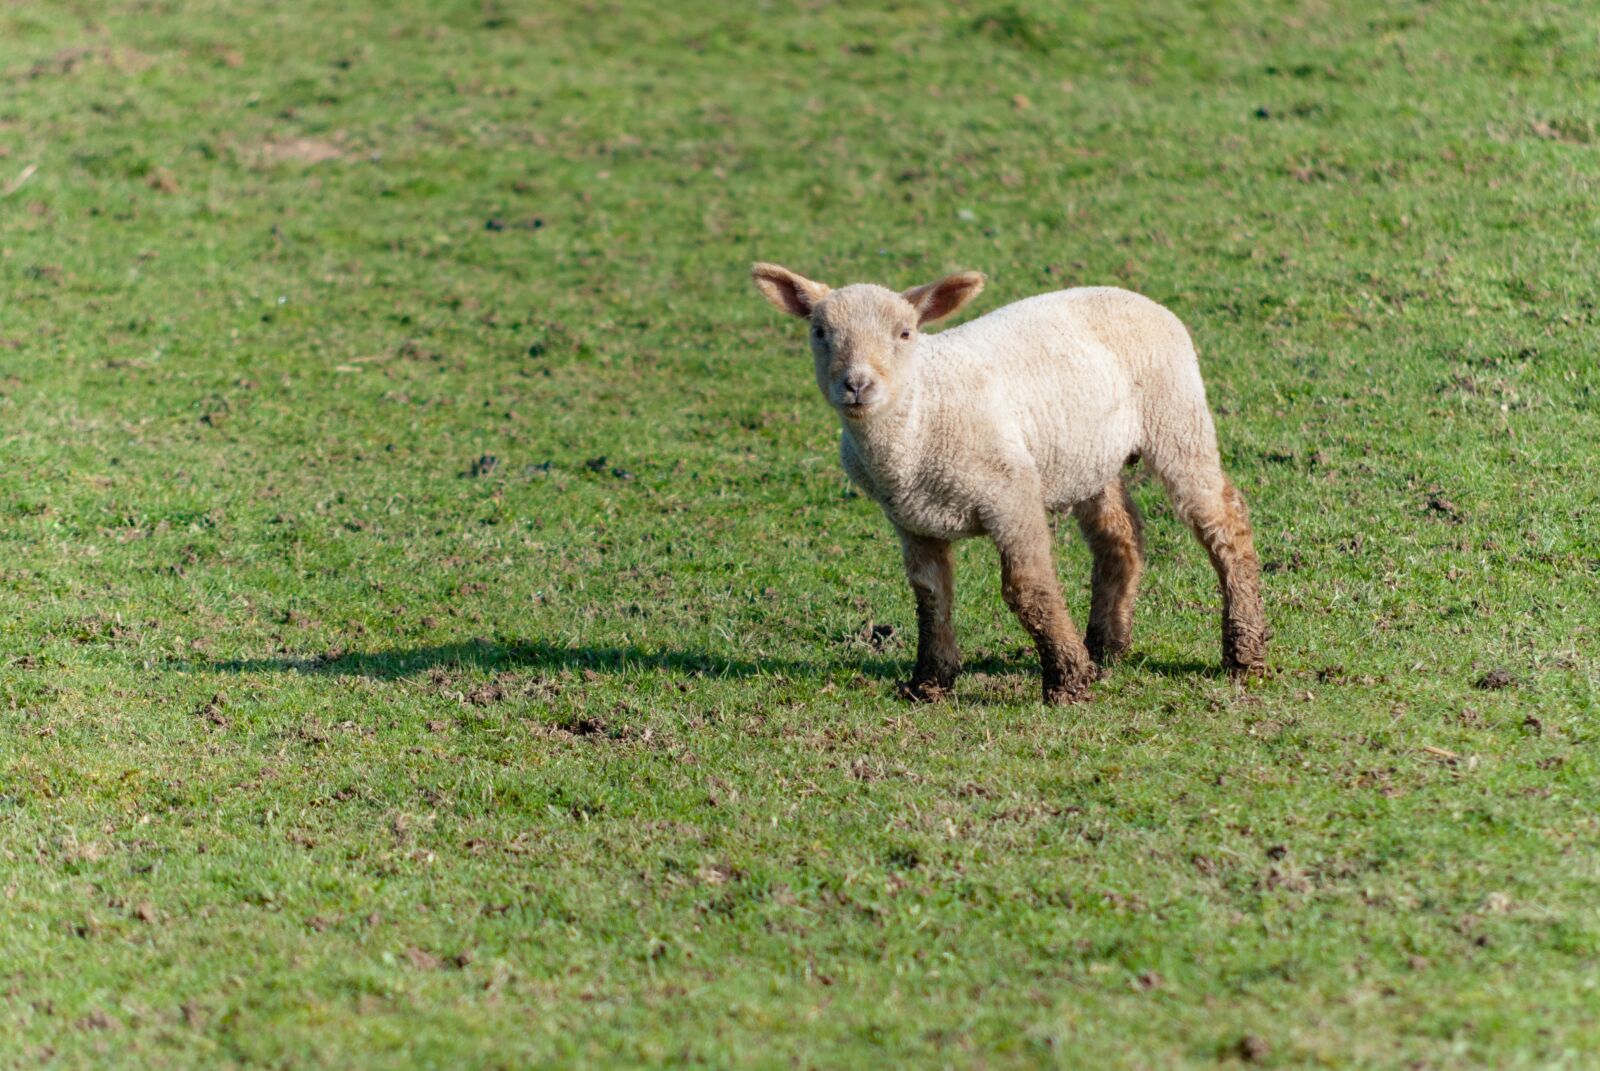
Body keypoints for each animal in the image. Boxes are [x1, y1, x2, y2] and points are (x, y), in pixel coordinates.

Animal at [751, 262, 1267, 704]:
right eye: (820, 333)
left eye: (905, 333)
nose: (857, 385)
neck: (919, 413)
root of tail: (1138, 297)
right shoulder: (910, 519)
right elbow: (930, 596)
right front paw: (929, 682)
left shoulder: (1012, 494)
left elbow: (1028, 589)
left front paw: (1067, 683)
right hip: (1088, 457)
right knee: (1120, 538)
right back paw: (1105, 647)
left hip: (1177, 418)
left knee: (1225, 522)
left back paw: (1244, 654)